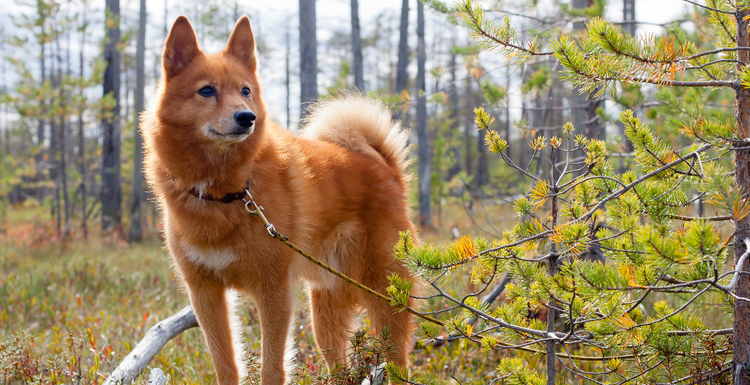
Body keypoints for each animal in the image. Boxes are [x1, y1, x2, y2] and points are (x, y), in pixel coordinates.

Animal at [142, 15, 424, 384]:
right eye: (207, 90)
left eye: (246, 90)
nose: (247, 117)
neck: (226, 192)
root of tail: (386, 168)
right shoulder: (205, 293)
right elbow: (225, 364)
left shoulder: (273, 291)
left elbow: (272, 366)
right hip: (326, 313)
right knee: (340, 366)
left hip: (384, 297)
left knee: (398, 361)